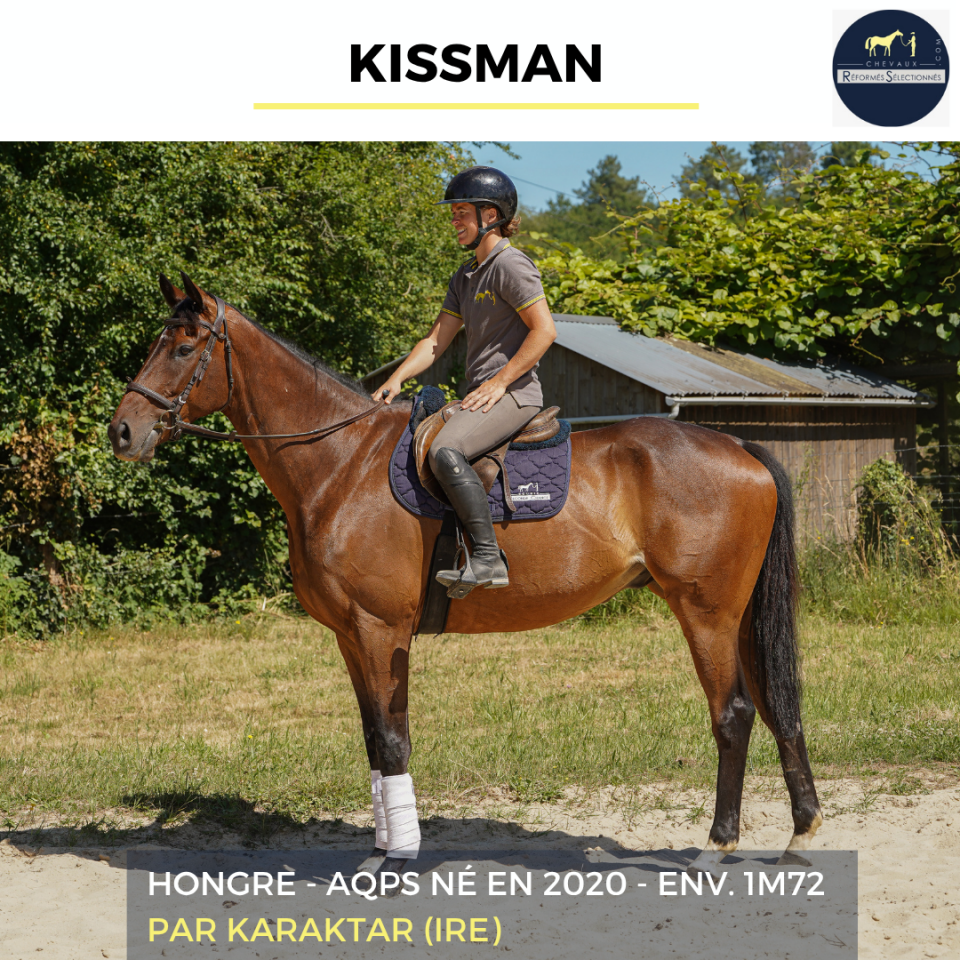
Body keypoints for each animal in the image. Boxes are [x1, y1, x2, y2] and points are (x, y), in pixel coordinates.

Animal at [108, 273, 822, 879]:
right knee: (775, 705)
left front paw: (397, 862)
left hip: (706, 613)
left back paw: (717, 845)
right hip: (738, 615)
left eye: (183, 347)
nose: (122, 432)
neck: (341, 465)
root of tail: (737, 446)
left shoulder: (380, 630)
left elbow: (392, 741)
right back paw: (800, 833)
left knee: (733, 714)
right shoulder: (350, 636)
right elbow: (373, 743)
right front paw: (379, 851)